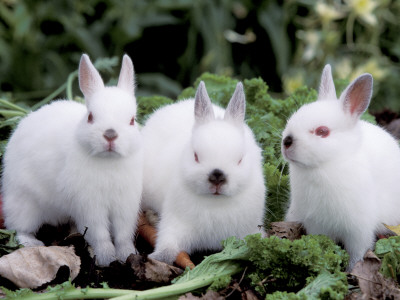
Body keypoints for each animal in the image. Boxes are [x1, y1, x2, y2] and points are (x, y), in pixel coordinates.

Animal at [0, 55, 142, 266]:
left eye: (132, 120)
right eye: (90, 117)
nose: (110, 134)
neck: (107, 162)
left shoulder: (125, 206)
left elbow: (123, 235)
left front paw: (127, 255)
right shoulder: (89, 206)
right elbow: (100, 235)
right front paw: (107, 259)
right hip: (24, 203)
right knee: (18, 227)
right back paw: (31, 242)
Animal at [141, 81, 266, 264]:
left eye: (240, 159)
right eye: (196, 156)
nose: (217, 176)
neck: (215, 203)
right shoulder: (174, 223)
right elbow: (168, 241)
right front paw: (159, 257)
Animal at [282, 64, 400, 268]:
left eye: (322, 131)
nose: (287, 141)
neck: (327, 165)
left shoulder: (358, 230)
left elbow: (357, 252)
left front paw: (351, 269)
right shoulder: (316, 224)